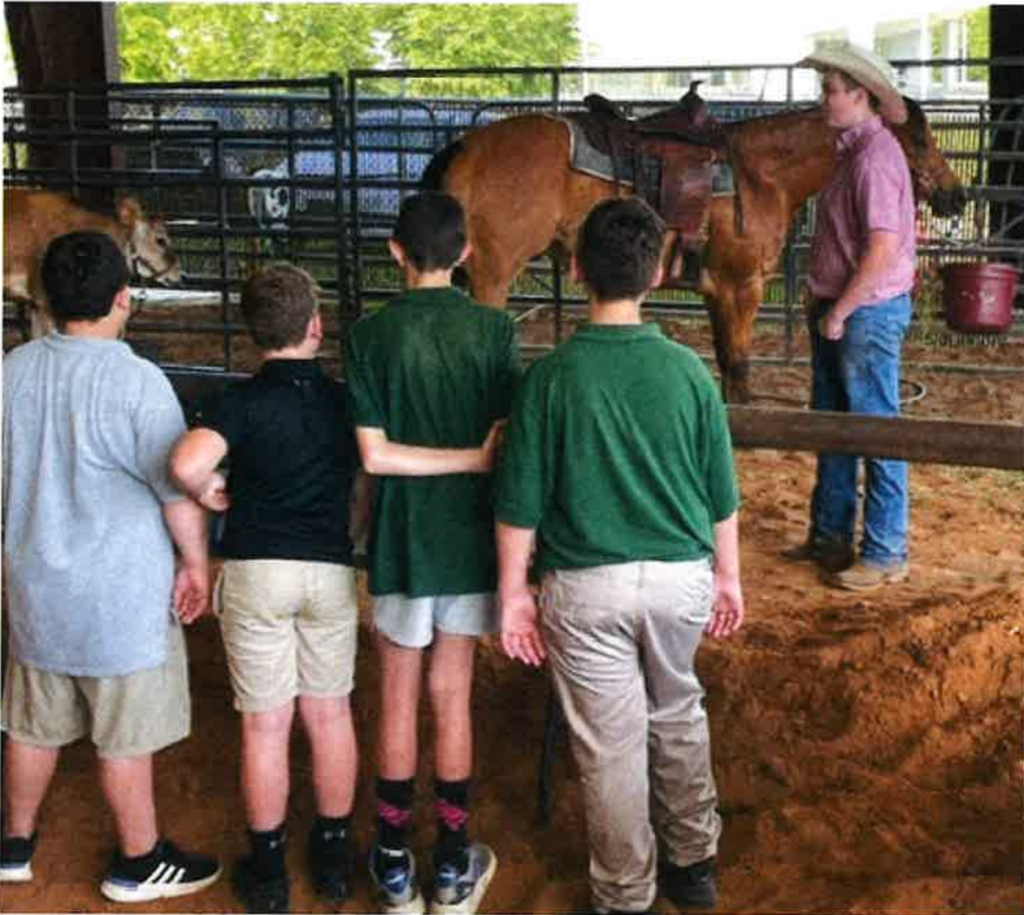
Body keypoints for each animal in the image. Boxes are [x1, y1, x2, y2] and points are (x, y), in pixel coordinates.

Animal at [419, 98, 962, 403]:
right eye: (918, 137)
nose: (956, 196)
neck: (760, 174)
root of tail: (468, 145)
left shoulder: (716, 291)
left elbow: (727, 366)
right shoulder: (743, 287)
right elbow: (739, 371)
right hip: (493, 275)